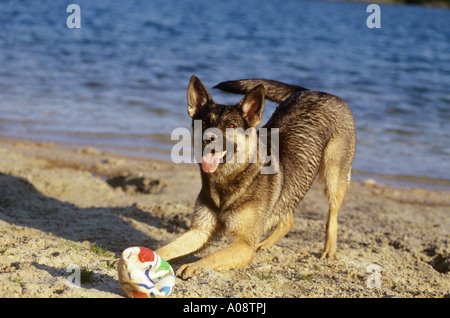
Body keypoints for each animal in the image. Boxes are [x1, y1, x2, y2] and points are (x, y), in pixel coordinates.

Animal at [156, 76, 356, 280]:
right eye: (204, 122)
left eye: (230, 126)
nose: (208, 138)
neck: (230, 178)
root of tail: (316, 92)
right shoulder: (200, 231)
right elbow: (164, 249)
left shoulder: (244, 245)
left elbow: (212, 256)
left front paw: (194, 265)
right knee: (287, 219)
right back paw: (266, 243)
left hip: (333, 176)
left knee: (332, 216)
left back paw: (329, 250)